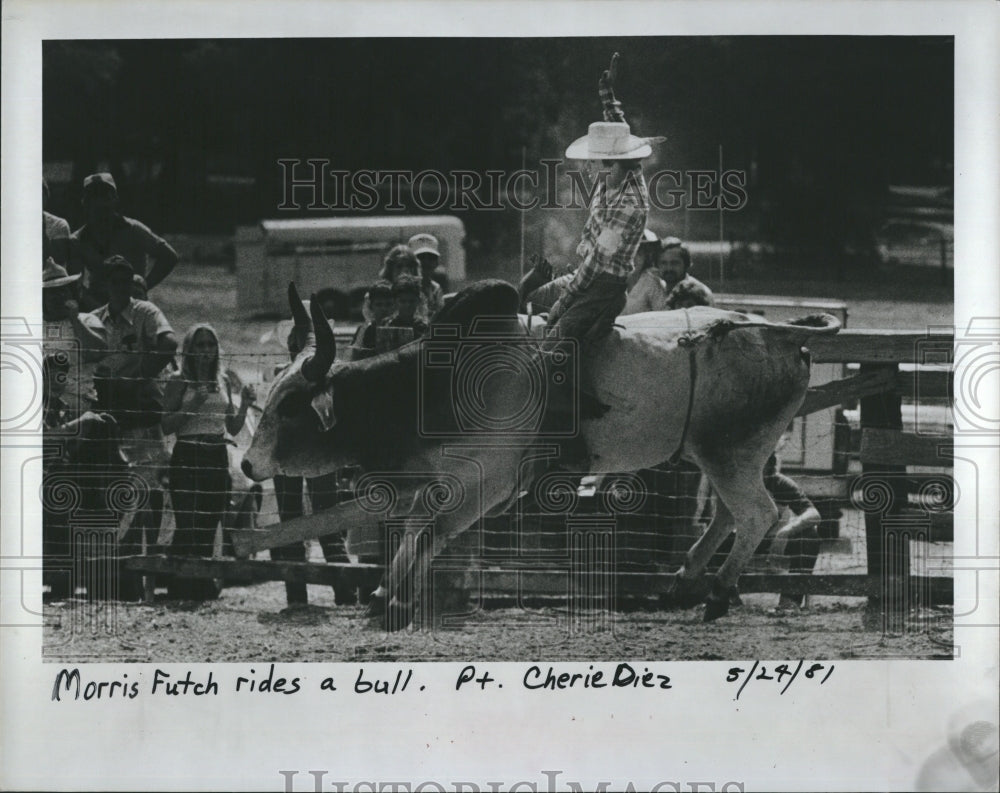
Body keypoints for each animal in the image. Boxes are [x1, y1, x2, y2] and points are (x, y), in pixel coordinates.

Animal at [240, 282, 836, 628]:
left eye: (290, 405)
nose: (247, 465)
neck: (438, 382)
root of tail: (780, 334)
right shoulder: (449, 480)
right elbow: (415, 527)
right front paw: (388, 591)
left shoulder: (488, 483)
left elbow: (429, 531)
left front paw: (393, 602)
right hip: (719, 455)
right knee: (728, 515)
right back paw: (685, 581)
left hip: (731, 454)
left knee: (756, 514)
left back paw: (716, 593)